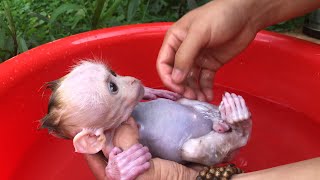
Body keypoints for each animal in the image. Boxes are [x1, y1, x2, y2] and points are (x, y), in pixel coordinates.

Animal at [40, 60, 251, 180]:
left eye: (114, 74)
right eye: (113, 87)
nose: (133, 80)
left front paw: (150, 91)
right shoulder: (119, 138)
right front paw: (120, 169)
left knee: (186, 103)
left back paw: (226, 118)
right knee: (194, 148)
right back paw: (239, 125)